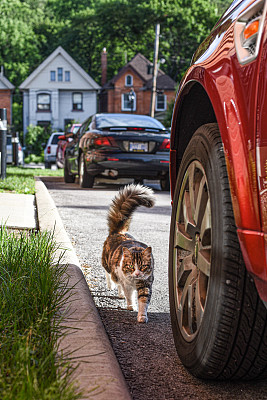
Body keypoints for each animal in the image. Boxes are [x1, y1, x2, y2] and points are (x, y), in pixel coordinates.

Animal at [102, 184, 157, 322]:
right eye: (131, 266)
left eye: (142, 266)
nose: (137, 273)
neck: (134, 281)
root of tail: (118, 232)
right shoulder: (126, 283)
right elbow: (129, 295)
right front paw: (131, 306)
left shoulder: (145, 284)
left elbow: (143, 301)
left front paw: (142, 316)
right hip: (108, 265)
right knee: (109, 275)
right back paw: (111, 286)